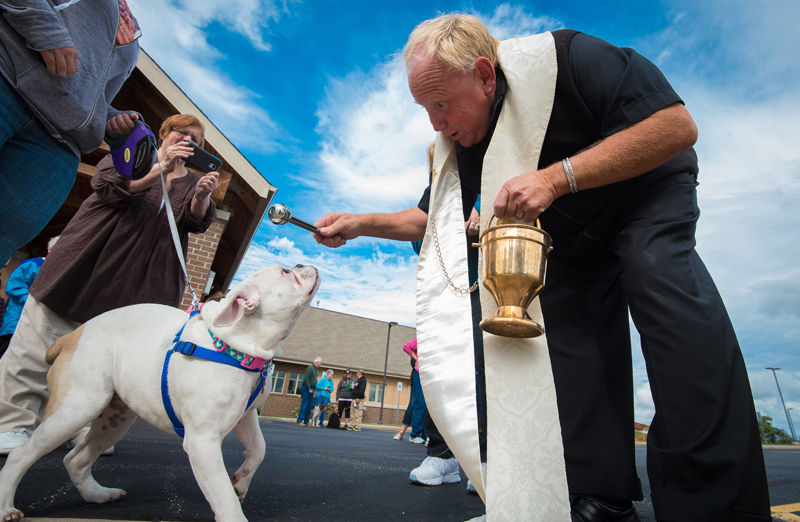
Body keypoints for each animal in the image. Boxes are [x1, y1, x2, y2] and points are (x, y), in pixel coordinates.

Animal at [0, 264, 318, 520]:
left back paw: (98, 495)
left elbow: (258, 449)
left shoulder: (245, 415)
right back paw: (6, 507)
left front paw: (240, 481)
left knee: (75, 460)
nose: (302, 264)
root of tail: (71, 336)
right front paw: (233, 502)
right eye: (286, 272)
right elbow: (224, 499)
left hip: (114, 419)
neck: (236, 343)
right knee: (21, 455)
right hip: (77, 407)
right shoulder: (202, 442)